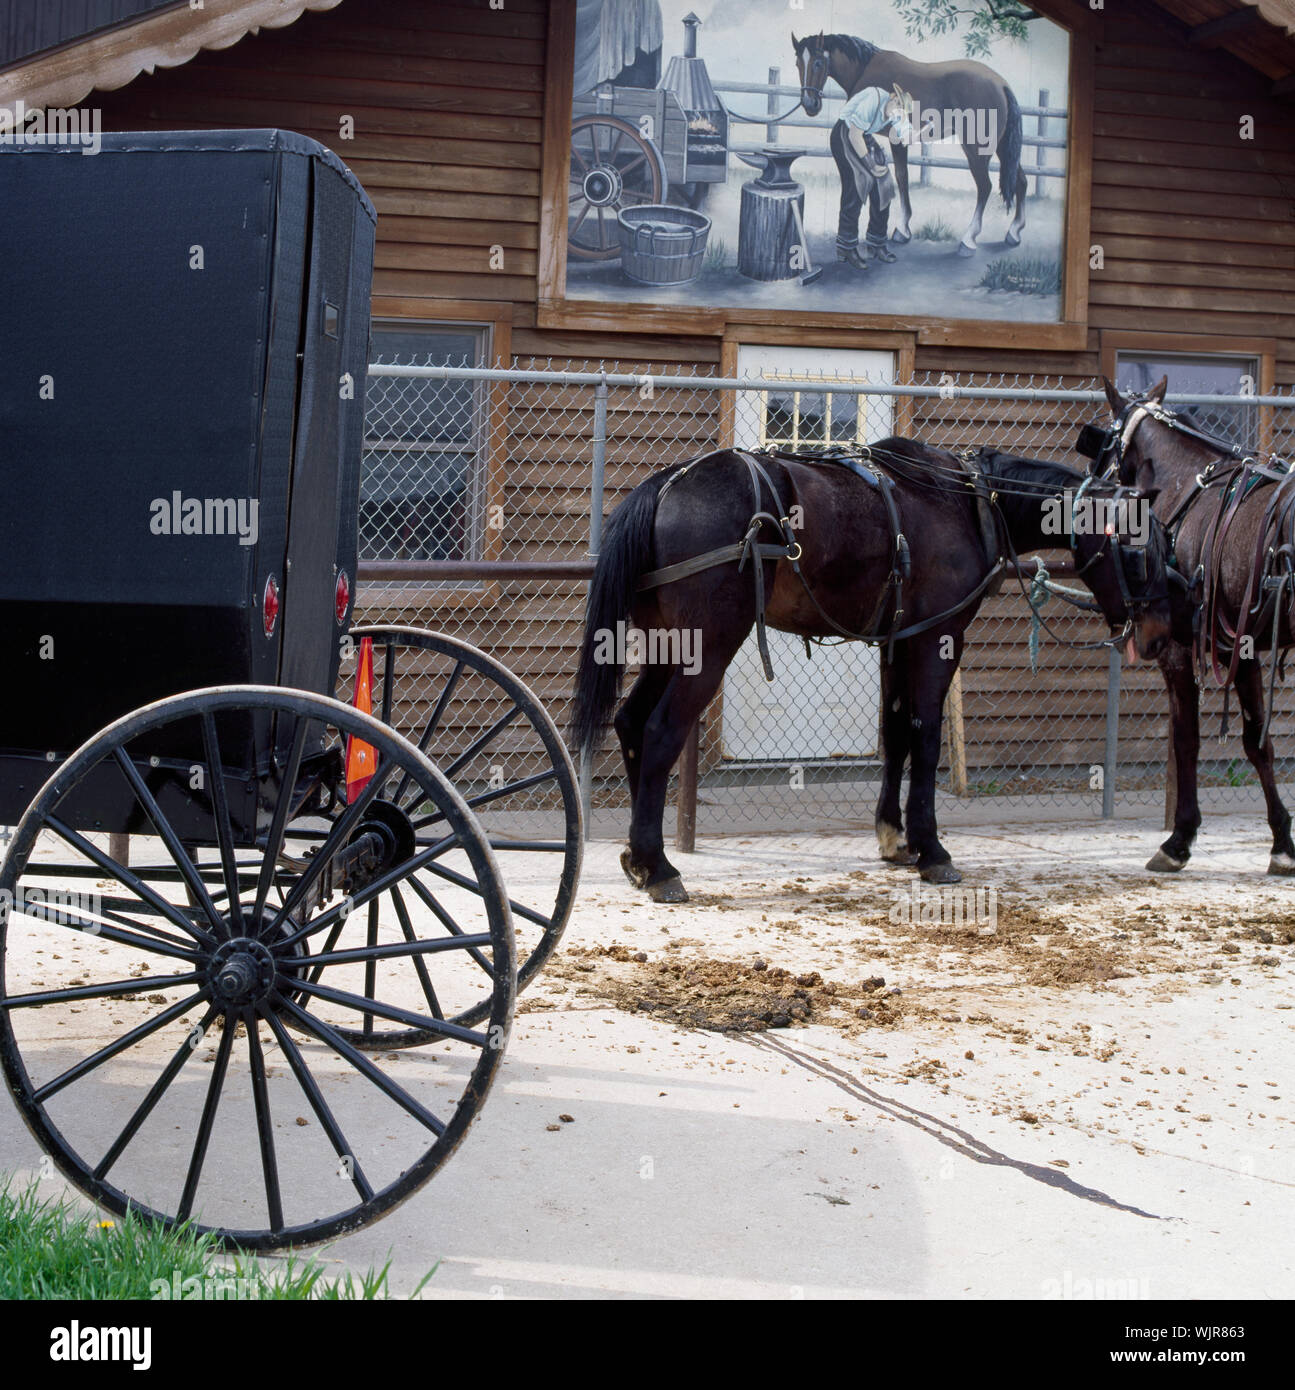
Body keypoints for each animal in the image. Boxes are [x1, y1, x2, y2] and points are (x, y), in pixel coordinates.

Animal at [573, 440, 1174, 903]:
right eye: (1138, 548)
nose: (1156, 633)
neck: (963, 500)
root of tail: (667, 486)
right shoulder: (936, 638)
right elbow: (926, 738)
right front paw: (932, 850)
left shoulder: (897, 642)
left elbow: (897, 733)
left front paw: (894, 837)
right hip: (707, 648)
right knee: (660, 731)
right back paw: (659, 866)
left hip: (667, 645)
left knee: (631, 723)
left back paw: (637, 858)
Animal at [792, 31, 1027, 258]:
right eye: (797, 63)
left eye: (818, 63)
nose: (810, 104)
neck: (865, 68)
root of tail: (1001, 84)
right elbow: (901, 177)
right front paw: (903, 230)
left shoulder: (895, 139)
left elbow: (901, 177)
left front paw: (902, 230)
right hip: (1002, 147)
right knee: (1021, 181)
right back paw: (1014, 233)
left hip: (977, 149)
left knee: (985, 187)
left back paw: (968, 240)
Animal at [1085, 376, 1295, 876]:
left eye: (1102, 444)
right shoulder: (1238, 644)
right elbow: (1257, 743)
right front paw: (1282, 840)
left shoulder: (1179, 649)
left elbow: (1186, 742)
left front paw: (1179, 839)